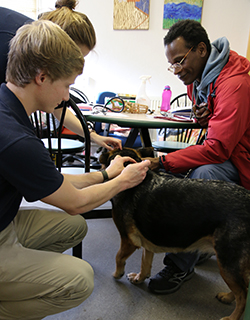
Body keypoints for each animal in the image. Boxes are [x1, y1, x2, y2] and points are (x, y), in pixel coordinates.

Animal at [98, 148, 250, 320]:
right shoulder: (147, 242)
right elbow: (145, 263)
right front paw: (139, 278)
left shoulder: (128, 241)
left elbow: (118, 257)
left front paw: (117, 273)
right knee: (243, 288)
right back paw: (228, 297)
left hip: (227, 261)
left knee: (243, 293)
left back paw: (232, 316)